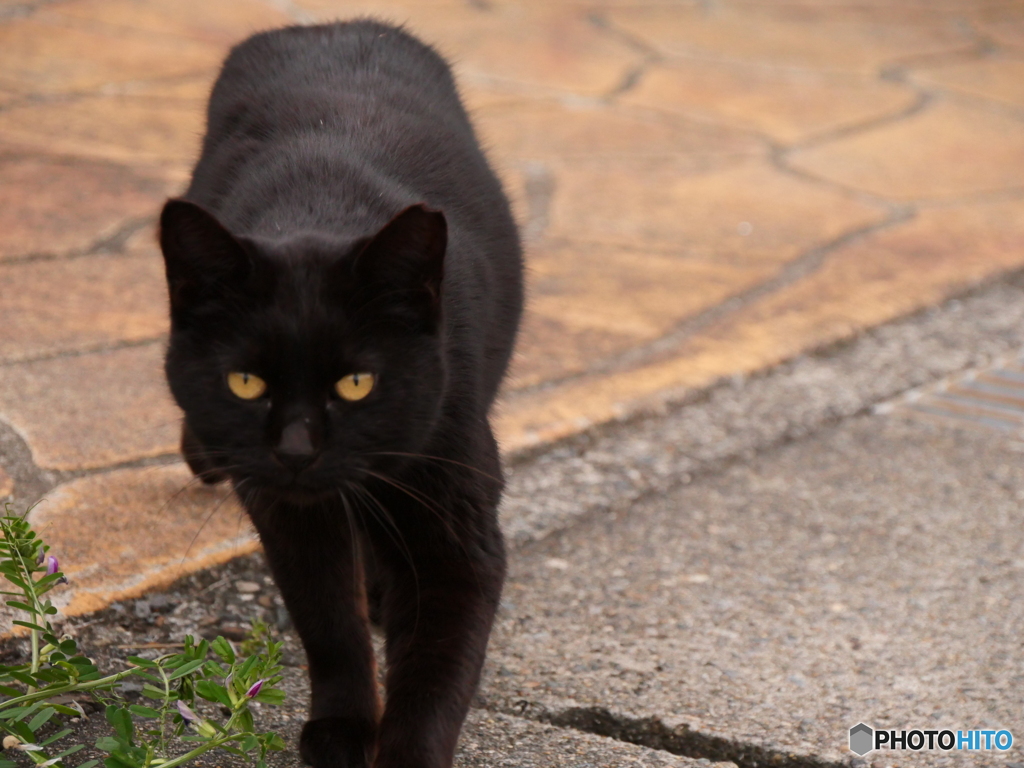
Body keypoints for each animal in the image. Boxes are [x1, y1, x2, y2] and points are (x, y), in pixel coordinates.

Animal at [160, 19, 528, 768]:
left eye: (357, 382)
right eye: (246, 381)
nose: (297, 449)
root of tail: (324, 26)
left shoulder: (454, 518)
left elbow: (437, 669)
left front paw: (404, 753)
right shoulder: (288, 511)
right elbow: (328, 619)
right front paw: (342, 729)